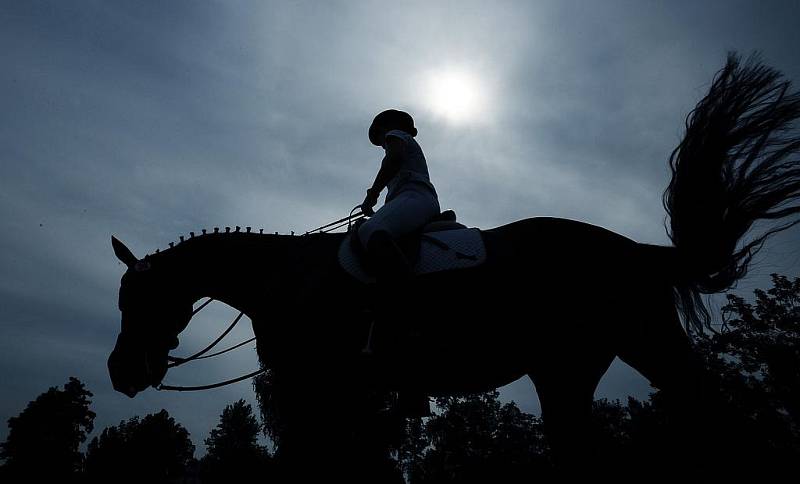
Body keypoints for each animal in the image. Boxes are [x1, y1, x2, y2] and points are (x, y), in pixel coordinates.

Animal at [111, 54, 800, 474]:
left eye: (136, 300)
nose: (120, 373)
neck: (288, 279)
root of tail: (637, 250)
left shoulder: (321, 386)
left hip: (650, 343)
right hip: (566, 368)